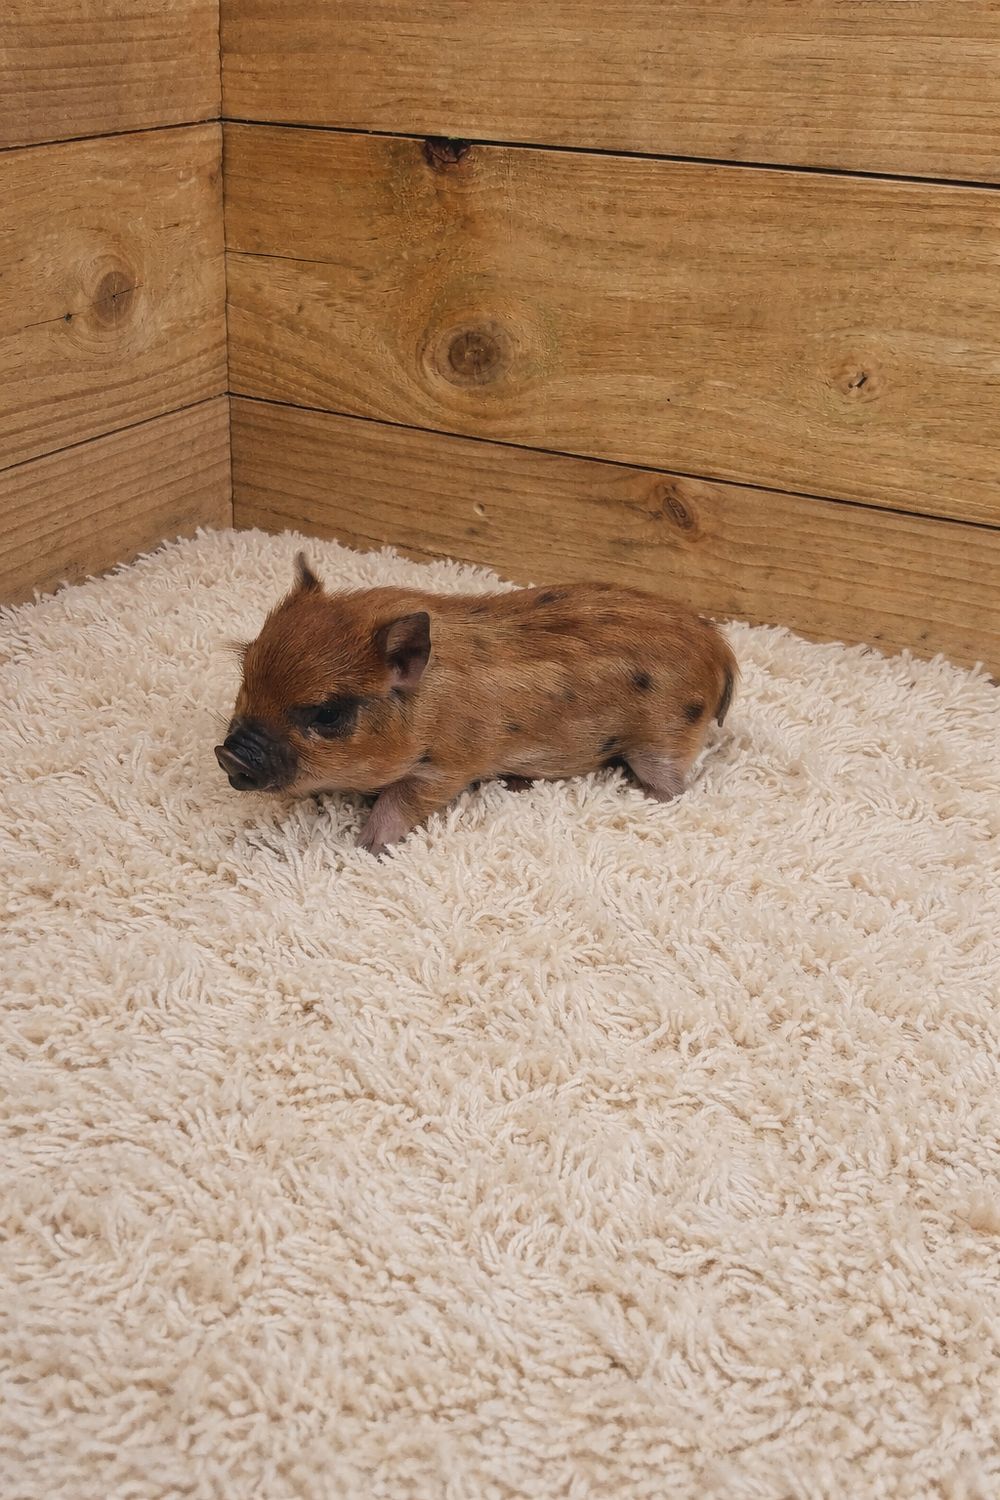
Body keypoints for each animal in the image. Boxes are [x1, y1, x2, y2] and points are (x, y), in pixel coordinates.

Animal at [215, 554, 737, 855]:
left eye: (327, 714)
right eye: (246, 671)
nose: (229, 753)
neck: (430, 707)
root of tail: (720, 650)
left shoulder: (450, 765)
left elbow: (402, 801)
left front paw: (366, 846)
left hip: (665, 737)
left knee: (676, 786)